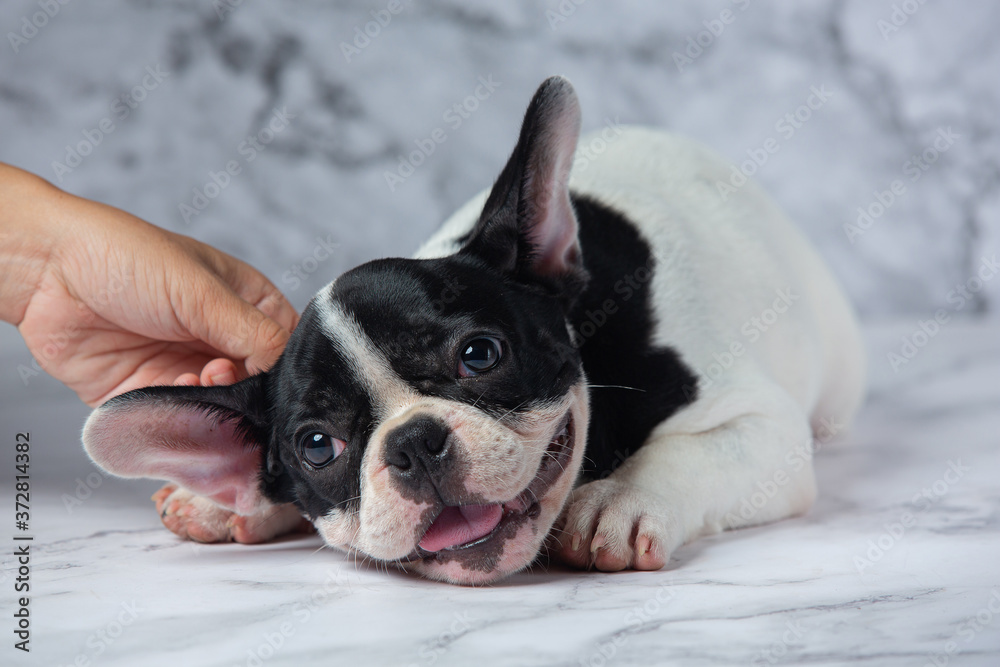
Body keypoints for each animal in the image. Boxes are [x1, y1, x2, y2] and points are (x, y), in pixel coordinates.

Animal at [84, 77, 868, 584]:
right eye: (316, 445)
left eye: (480, 354)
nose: (413, 442)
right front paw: (236, 496)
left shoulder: (761, 426)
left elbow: (692, 451)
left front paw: (617, 500)